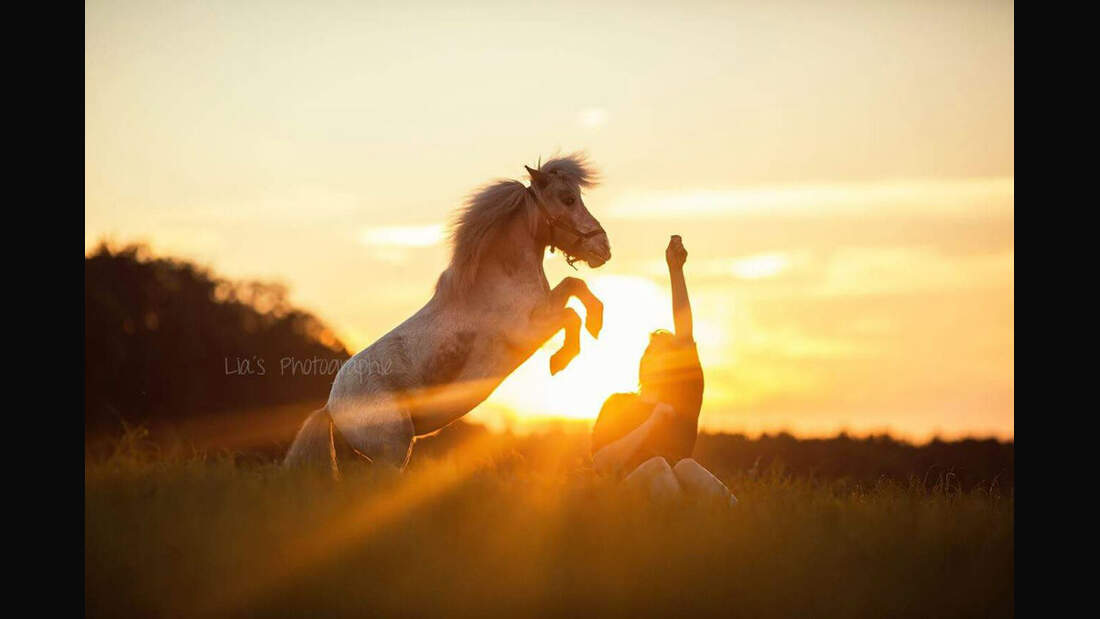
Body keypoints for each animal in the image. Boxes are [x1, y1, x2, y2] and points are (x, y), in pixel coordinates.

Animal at [283, 153, 611, 470]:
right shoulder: (530, 331)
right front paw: (563, 358)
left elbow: (574, 285)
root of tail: (330, 407)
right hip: (393, 453)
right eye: (568, 199)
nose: (604, 248)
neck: (499, 280)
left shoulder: (546, 306)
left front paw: (595, 323)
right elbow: (571, 314)